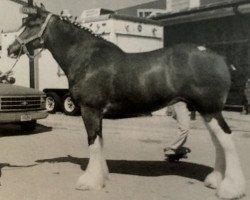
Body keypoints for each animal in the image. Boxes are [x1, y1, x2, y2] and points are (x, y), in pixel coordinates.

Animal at [7, 3, 246, 199]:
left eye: (31, 24)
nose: (10, 49)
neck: (87, 58)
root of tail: (219, 57)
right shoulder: (97, 113)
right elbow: (100, 142)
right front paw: (102, 176)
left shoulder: (89, 110)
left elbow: (93, 142)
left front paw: (89, 182)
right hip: (207, 110)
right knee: (218, 141)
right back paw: (215, 180)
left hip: (210, 109)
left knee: (226, 139)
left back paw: (231, 189)